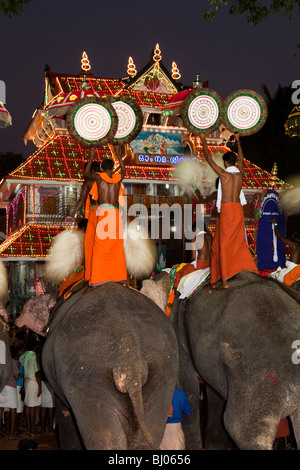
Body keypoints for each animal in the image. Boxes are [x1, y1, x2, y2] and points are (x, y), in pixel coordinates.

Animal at [15, 284, 178, 450]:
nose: (16, 321)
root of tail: (130, 353)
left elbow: (65, 414)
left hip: (86, 375)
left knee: (106, 438)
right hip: (163, 373)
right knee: (147, 434)